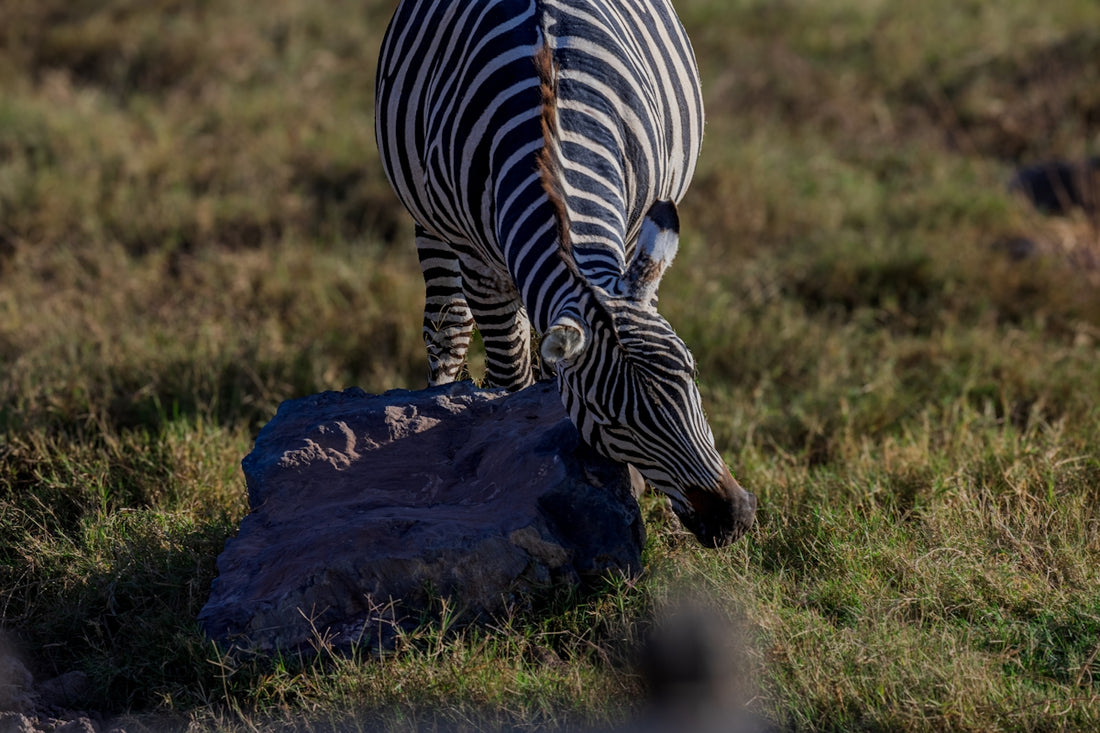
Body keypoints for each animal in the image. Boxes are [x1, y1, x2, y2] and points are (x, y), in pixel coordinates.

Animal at [375, 0, 756, 546]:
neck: (551, 132)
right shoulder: (479, 264)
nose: (734, 520)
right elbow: (508, 371)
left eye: (692, 375)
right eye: (613, 424)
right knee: (448, 328)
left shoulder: (632, 239)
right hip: (428, 221)